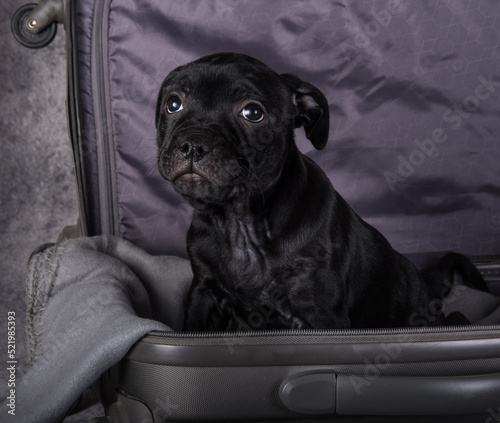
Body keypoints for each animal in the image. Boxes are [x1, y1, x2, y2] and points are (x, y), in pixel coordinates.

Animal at [155, 53, 484, 332]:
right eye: (173, 104)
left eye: (252, 112)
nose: (194, 143)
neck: (241, 224)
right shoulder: (202, 294)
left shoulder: (319, 316)